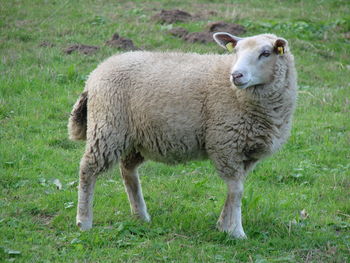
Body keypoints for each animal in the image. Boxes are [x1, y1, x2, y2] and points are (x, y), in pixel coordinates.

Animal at [68, 32, 298, 239]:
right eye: (236, 52)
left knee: (127, 170)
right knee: (88, 169)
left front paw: (223, 225)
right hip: (108, 128)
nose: (236, 75)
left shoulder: (247, 152)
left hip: (136, 137)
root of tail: (95, 73)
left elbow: (236, 188)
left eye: (265, 53)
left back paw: (141, 215)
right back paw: (84, 221)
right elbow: (237, 190)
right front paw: (236, 231)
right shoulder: (225, 144)